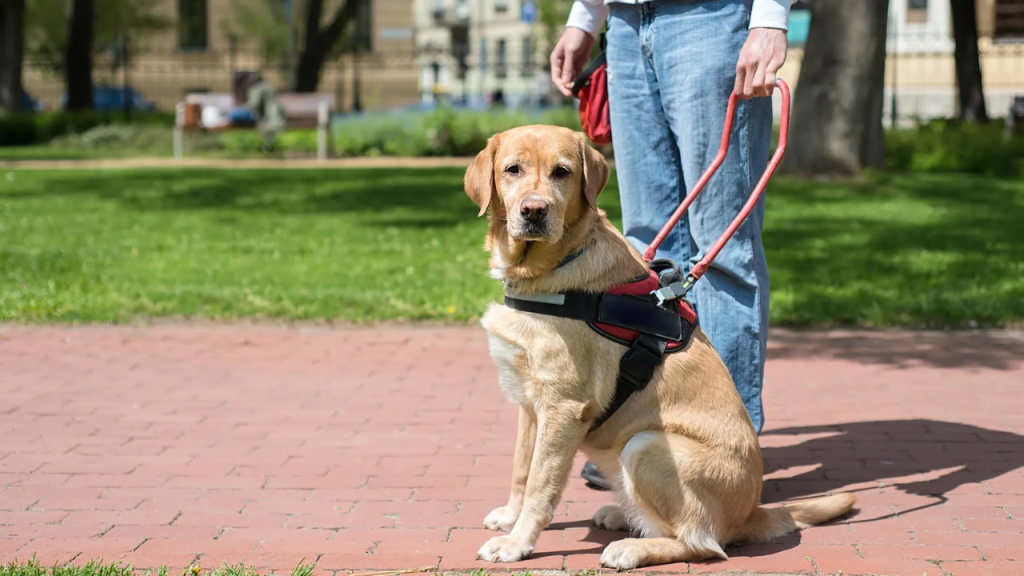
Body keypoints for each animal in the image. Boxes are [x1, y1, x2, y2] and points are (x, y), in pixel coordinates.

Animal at [468, 123, 860, 565]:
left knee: (703, 543)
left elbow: (540, 483)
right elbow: (521, 468)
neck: (546, 271)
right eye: (512, 169)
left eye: (562, 172)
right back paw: (620, 515)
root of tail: (750, 512)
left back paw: (631, 547)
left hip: (646, 445)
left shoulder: (564, 407)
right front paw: (509, 517)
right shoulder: (531, 404)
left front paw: (517, 542)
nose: (533, 211)